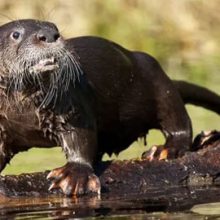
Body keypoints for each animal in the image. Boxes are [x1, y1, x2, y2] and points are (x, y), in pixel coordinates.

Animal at [0, 19, 219, 196]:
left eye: (55, 28)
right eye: (16, 34)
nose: (49, 35)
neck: (23, 112)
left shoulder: (71, 104)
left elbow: (81, 138)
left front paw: (73, 175)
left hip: (156, 78)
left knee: (177, 118)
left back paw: (167, 149)